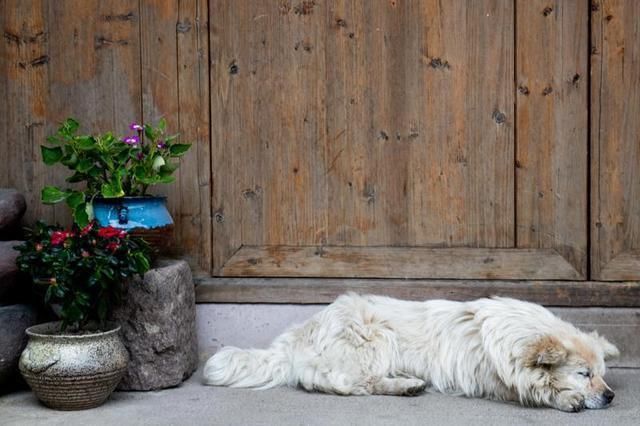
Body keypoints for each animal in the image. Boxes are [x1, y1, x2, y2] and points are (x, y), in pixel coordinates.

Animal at [205, 294, 620, 412]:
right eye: (584, 374)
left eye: (601, 373)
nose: (611, 396)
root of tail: (298, 333)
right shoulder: (496, 379)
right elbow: (533, 388)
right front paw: (562, 397)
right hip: (375, 337)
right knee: (350, 383)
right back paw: (403, 386)